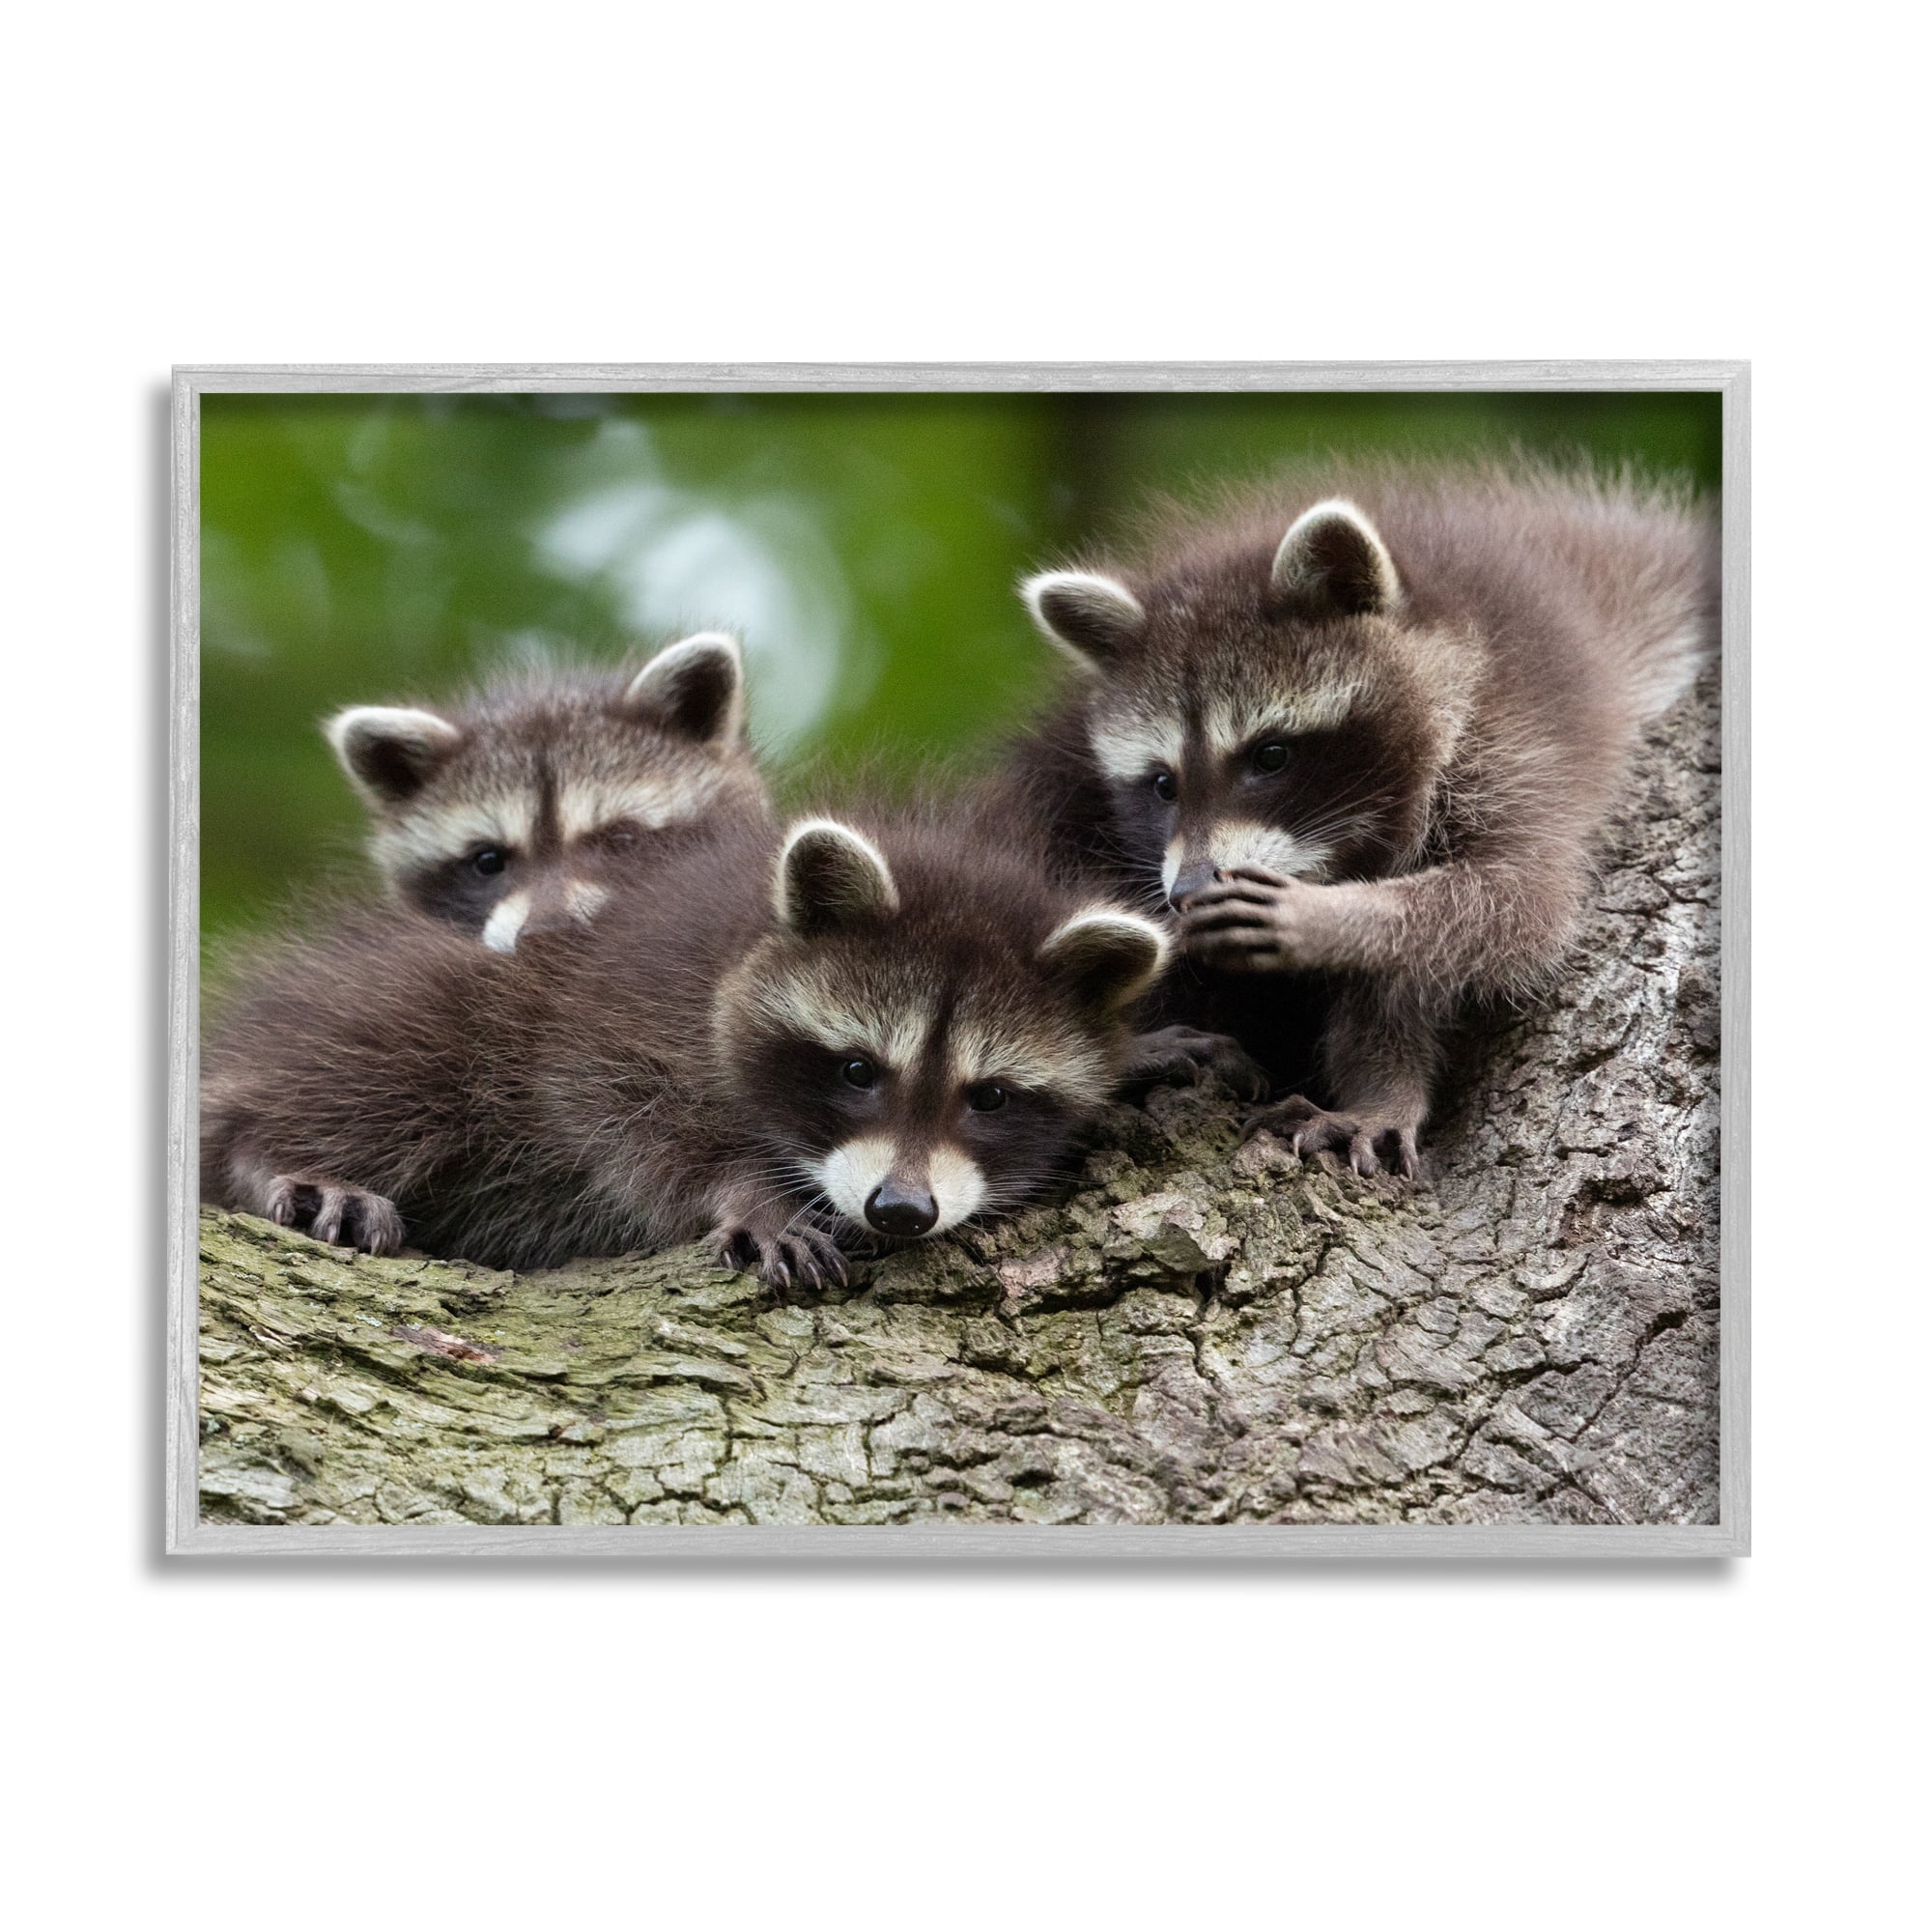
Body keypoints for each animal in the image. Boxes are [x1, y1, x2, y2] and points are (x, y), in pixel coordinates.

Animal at [201, 807, 1169, 1289]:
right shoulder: (627, 998)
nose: (900, 1210)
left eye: (990, 1096)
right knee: (411, 1053)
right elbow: (617, 1110)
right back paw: (268, 1150)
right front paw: (746, 1192)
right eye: (859, 1070)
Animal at [1003, 458, 1718, 1175]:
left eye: (1270, 755)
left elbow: (1514, 903)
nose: (1188, 890)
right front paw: (1381, 1083)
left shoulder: (1515, 741)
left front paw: (1335, 918)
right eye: (1162, 784)